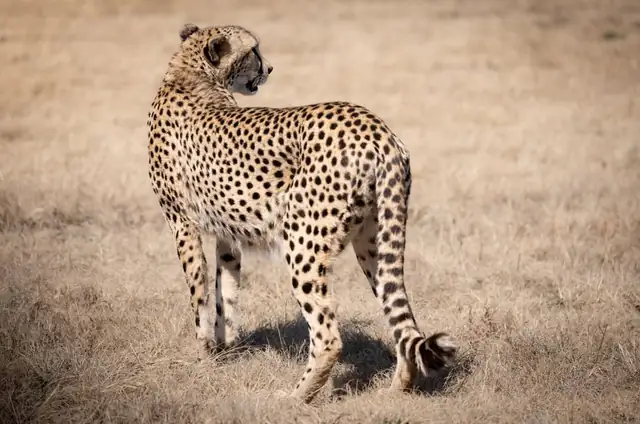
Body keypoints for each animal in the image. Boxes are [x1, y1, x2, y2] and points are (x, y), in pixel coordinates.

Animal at [147, 23, 457, 403]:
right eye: (253, 51)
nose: (270, 68)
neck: (192, 73)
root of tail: (376, 128)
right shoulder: (226, 234)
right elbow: (226, 292)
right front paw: (225, 348)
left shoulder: (181, 222)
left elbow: (199, 293)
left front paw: (203, 355)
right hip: (374, 241)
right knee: (400, 315)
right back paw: (397, 389)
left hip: (303, 242)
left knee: (328, 336)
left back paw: (295, 397)